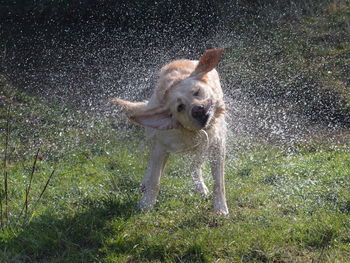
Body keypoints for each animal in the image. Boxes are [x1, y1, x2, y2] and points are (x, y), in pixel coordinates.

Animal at [110, 49, 230, 217]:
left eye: (197, 92)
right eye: (180, 107)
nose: (197, 109)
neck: (191, 132)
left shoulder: (216, 144)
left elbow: (218, 182)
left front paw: (220, 208)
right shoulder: (161, 147)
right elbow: (155, 180)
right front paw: (146, 204)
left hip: (204, 146)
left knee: (194, 166)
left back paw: (200, 186)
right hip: (153, 137)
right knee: (151, 163)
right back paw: (145, 183)